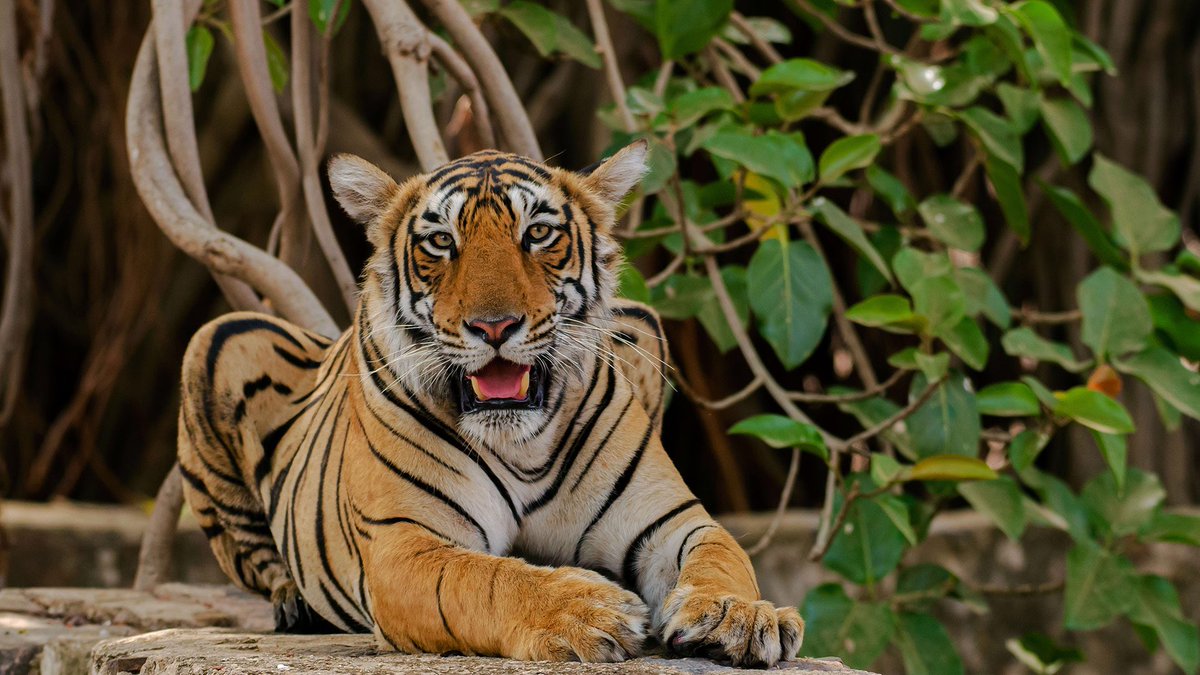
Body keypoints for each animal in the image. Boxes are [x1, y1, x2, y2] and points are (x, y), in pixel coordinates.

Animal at [174, 139, 801, 662]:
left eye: (538, 234)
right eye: (441, 242)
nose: (494, 327)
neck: (523, 445)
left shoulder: (667, 519)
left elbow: (723, 555)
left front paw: (741, 615)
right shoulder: (405, 543)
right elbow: (489, 580)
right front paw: (590, 611)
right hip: (217, 338)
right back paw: (293, 603)